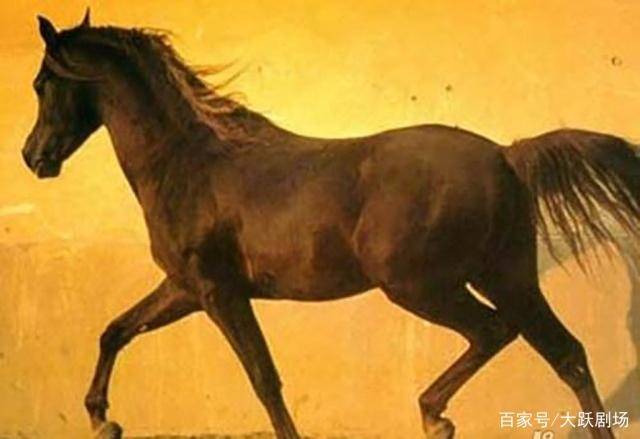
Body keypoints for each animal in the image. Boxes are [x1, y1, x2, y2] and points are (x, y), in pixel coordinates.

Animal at [21, 10, 640, 439]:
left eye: (42, 83)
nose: (33, 157)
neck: (190, 161)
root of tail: (506, 156)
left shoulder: (218, 292)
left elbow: (264, 378)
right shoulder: (185, 288)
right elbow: (115, 330)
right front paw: (103, 420)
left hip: (421, 285)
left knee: (494, 333)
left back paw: (433, 415)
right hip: (506, 277)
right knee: (566, 354)